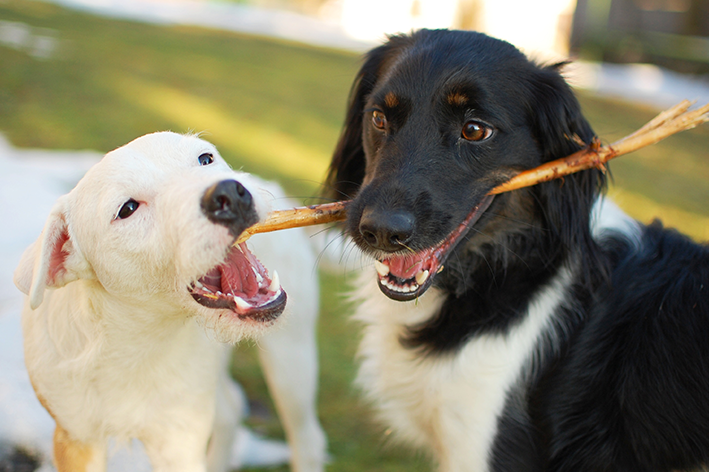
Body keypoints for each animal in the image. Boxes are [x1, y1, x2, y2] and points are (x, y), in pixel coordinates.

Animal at [13, 132, 324, 472]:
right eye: (128, 208)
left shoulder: (177, 443)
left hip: (291, 357)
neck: (137, 341)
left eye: (205, 159)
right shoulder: (75, 439)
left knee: (306, 437)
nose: (229, 193)